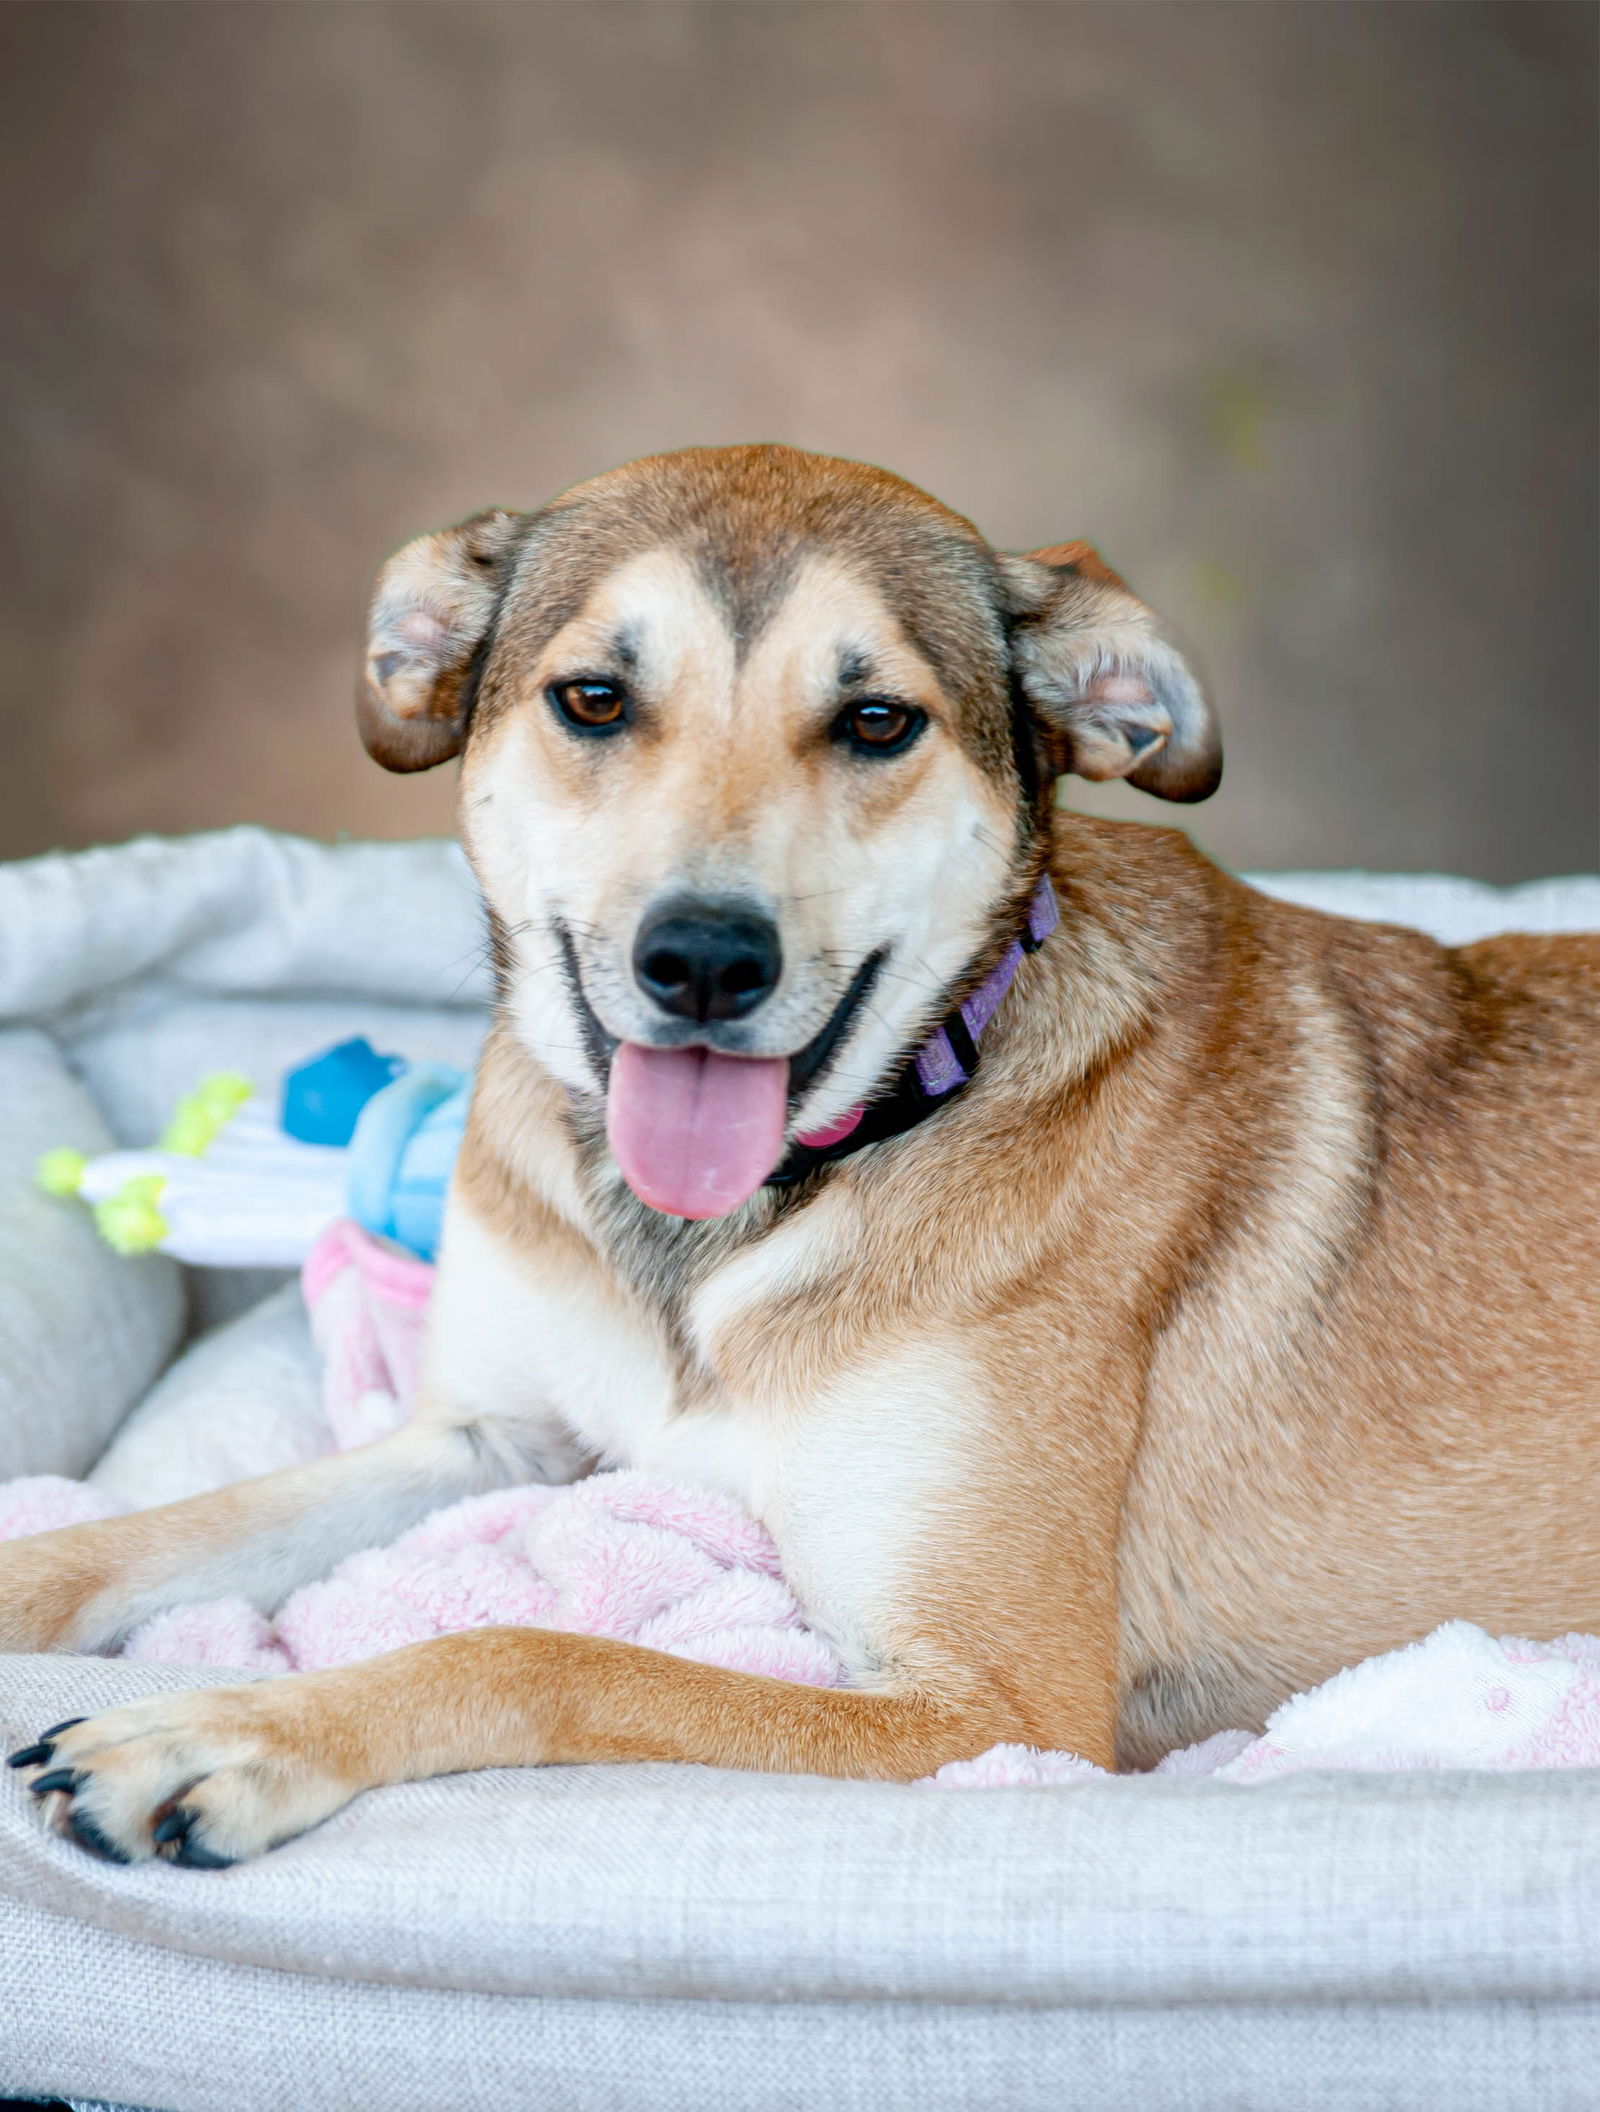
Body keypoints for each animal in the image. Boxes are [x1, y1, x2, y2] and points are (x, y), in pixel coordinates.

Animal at [3, 445, 1600, 1867]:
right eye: (594, 698)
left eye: (878, 721)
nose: (706, 959)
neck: (727, 1229)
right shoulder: (487, 1439)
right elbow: (152, 1532)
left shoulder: (991, 1710)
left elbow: (543, 1652)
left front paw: (232, 1733)